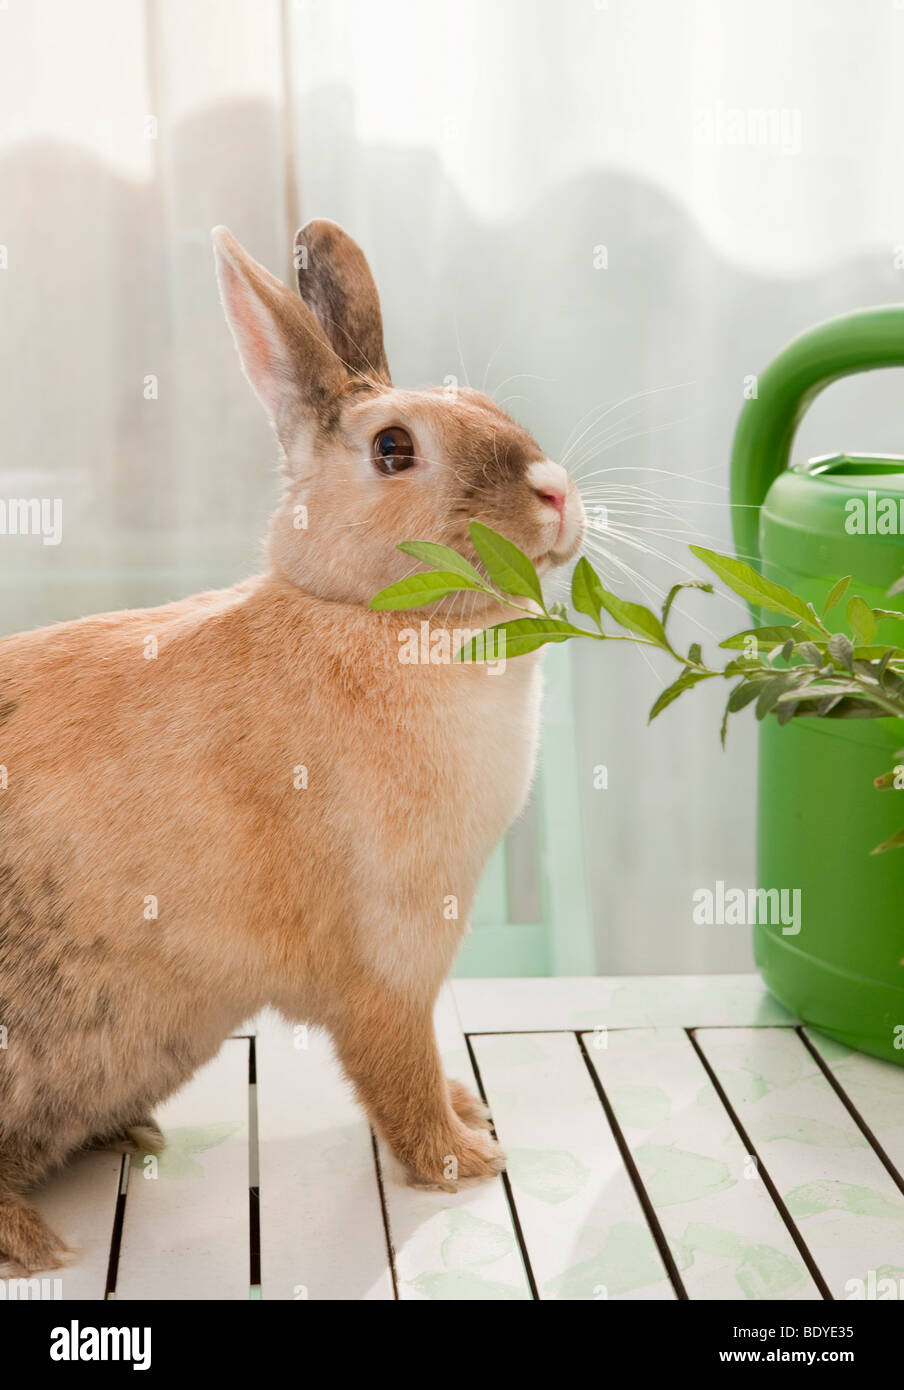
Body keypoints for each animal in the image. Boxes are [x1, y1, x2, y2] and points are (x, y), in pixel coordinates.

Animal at [0, 219, 585, 1274]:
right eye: (394, 448)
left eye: (488, 407)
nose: (556, 493)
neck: (377, 620)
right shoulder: (387, 961)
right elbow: (397, 1073)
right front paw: (463, 1160)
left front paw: (471, 1113)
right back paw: (38, 1245)